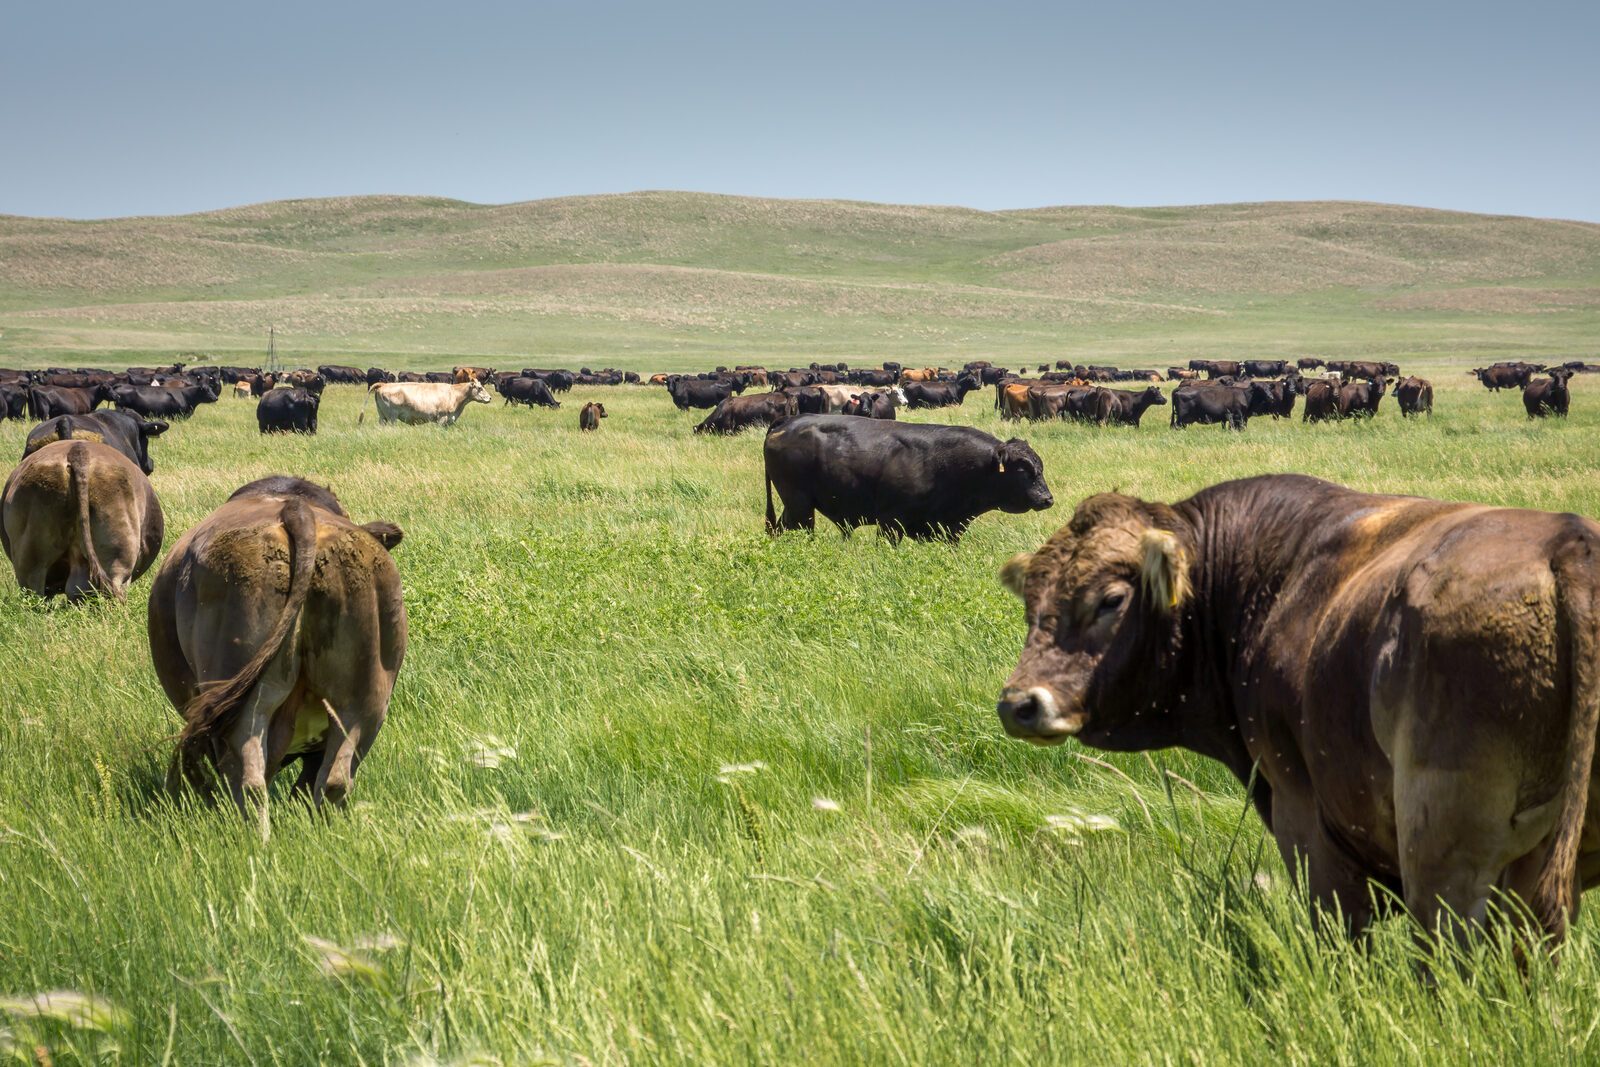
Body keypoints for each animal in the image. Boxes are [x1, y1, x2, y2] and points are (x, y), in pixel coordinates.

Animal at [361, 380, 492, 426]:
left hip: (382, 416)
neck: (454, 394)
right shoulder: (442, 418)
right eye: (480, 388)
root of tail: (384, 384)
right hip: (391, 417)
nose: (490, 398)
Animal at [762, 415, 1053, 542]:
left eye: (1040, 466)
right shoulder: (890, 523)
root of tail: (785, 423)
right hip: (799, 508)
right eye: (1023, 470)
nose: (1047, 499)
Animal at [995, 473, 1600, 949]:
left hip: (1447, 856)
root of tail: (1567, 546)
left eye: (1111, 600)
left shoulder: (1305, 822)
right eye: (1031, 604)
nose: (1019, 704)